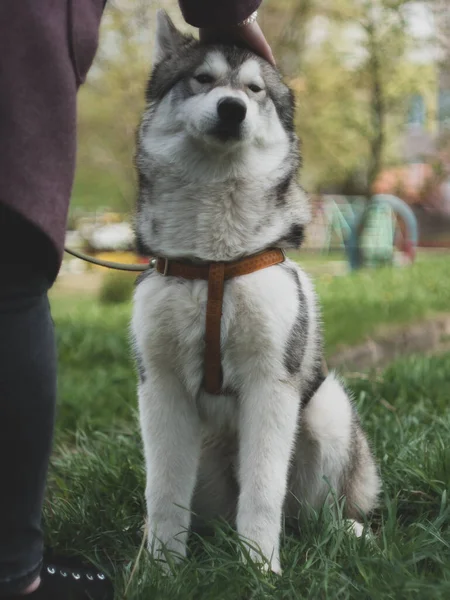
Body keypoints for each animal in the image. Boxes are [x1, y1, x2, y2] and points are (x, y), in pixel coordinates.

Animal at [132, 9, 382, 572]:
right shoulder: (159, 389)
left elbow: (265, 491)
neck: (214, 263)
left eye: (254, 89)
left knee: (310, 514)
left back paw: (345, 531)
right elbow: (162, 492)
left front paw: (260, 570)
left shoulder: (272, 383)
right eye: (202, 79)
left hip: (327, 408)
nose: (232, 108)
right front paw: (159, 569)